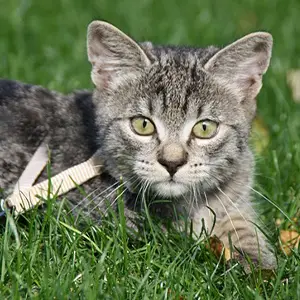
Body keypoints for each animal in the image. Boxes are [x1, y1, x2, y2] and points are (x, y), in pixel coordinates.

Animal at [0, 20, 276, 270]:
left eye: (204, 128)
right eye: (142, 125)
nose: (172, 162)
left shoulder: (235, 204)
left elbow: (247, 235)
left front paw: (259, 267)